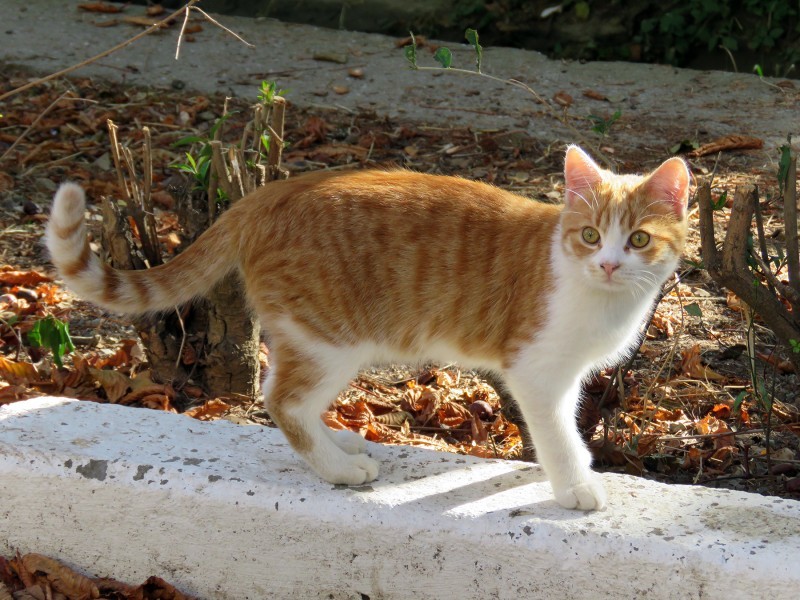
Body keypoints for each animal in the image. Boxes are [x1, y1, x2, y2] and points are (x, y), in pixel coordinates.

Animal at [47, 146, 692, 510]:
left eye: (638, 239)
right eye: (590, 235)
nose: (608, 263)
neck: (598, 295)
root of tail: (274, 191)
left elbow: (569, 432)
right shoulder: (536, 372)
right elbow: (557, 436)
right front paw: (575, 485)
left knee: (283, 396)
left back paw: (340, 443)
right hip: (330, 340)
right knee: (282, 401)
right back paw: (338, 468)